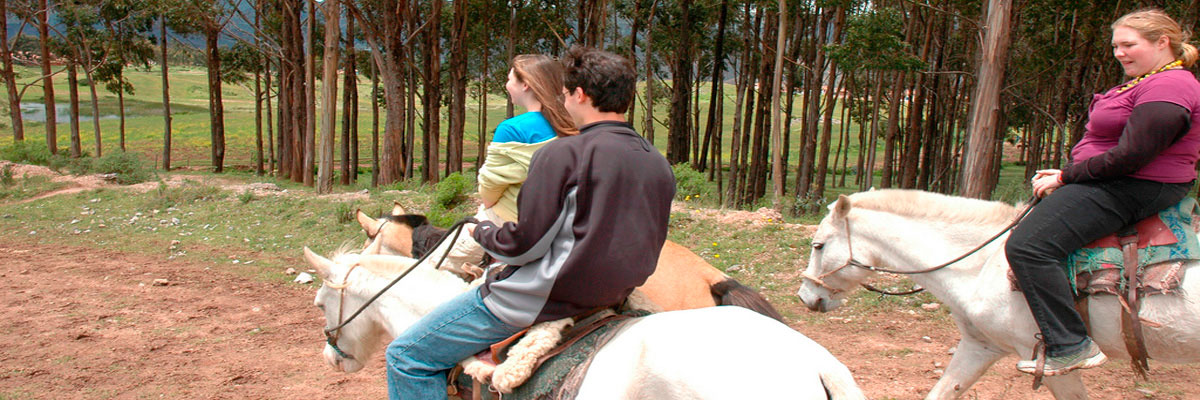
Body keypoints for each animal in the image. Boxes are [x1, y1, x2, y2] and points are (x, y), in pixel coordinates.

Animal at [796, 188, 1200, 396]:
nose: (805, 296)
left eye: (818, 245)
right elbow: (945, 389)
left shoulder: (1053, 363)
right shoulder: (980, 346)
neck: (984, 262)